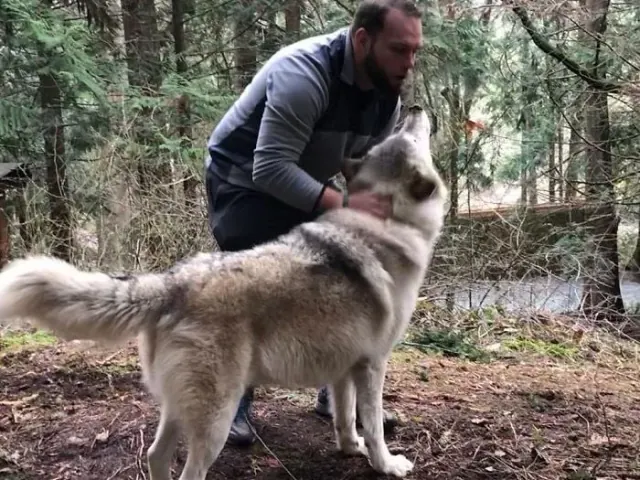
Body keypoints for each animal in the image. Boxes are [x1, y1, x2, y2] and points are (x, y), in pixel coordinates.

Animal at [0, 104, 447, 480]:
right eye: (410, 136)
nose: (414, 107)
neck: (386, 222)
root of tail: (172, 282)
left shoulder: (345, 368)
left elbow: (345, 418)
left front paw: (350, 449)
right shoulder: (372, 365)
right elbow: (372, 426)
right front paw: (387, 464)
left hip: (181, 411)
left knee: (155, 456)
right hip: (215, 422)